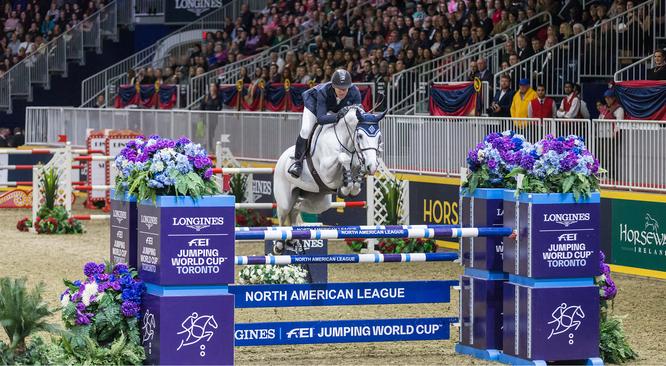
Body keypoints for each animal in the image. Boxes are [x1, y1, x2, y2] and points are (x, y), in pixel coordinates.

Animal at [272, 104, 384, 250]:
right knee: (284, 214)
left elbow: (355, 175)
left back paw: (293, 238)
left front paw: (352, 184)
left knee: (296, 208)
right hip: (284, 199)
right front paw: (345, 188)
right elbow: (343, 158)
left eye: (379, 137)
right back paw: (279, 244)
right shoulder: (327, 173)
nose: (372, 166)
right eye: (359, 136)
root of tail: (281, 158)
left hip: (318, 202)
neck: (345, 141)